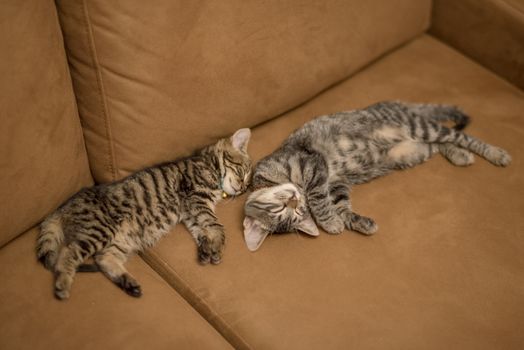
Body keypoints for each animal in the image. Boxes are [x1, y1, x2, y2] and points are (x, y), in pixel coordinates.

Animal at [36, 130, 252, 300]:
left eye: (246, 187)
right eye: (242, 173)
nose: (242, 189)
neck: (209, 165)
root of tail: (62, 206)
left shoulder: (190, 212)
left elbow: (202, 229)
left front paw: (207, 248)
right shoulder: (196, 198)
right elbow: (216, 225)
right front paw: (217, 245)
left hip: (122, 240)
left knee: (104, 258)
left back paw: (128, 283)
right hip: (100, 230)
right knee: (68, 253)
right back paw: (63, 284)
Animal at [244, 101, 510, 252]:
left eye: (285, 209)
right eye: (293, 213)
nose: (294, 200)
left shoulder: (313, 165)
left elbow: (319, 200)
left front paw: (330, 222)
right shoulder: (336, 184)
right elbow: (341, 207)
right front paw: (357, 223)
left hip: (418, 127)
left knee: (461, 136)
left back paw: (496, 153)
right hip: (410, 152)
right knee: (439, 144)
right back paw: (459, 155)